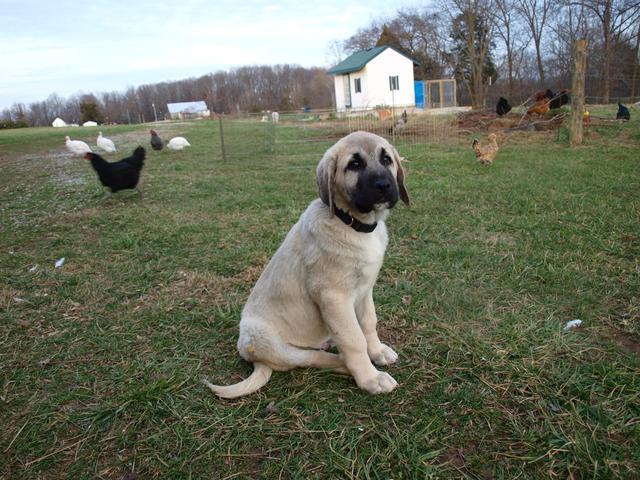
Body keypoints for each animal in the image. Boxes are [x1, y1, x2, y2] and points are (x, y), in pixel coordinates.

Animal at [205, 130, 410, 398]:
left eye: (386, 159)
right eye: (354, 165)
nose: (384, 186)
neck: (351, 223)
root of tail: (254, 358)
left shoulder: (365, 289)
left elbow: (368, 322)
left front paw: (377, 351)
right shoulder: (333, 296)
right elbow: (354, 339)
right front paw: (370, 378)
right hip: (271, 341)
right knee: (314, 358)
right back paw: (345, 363)